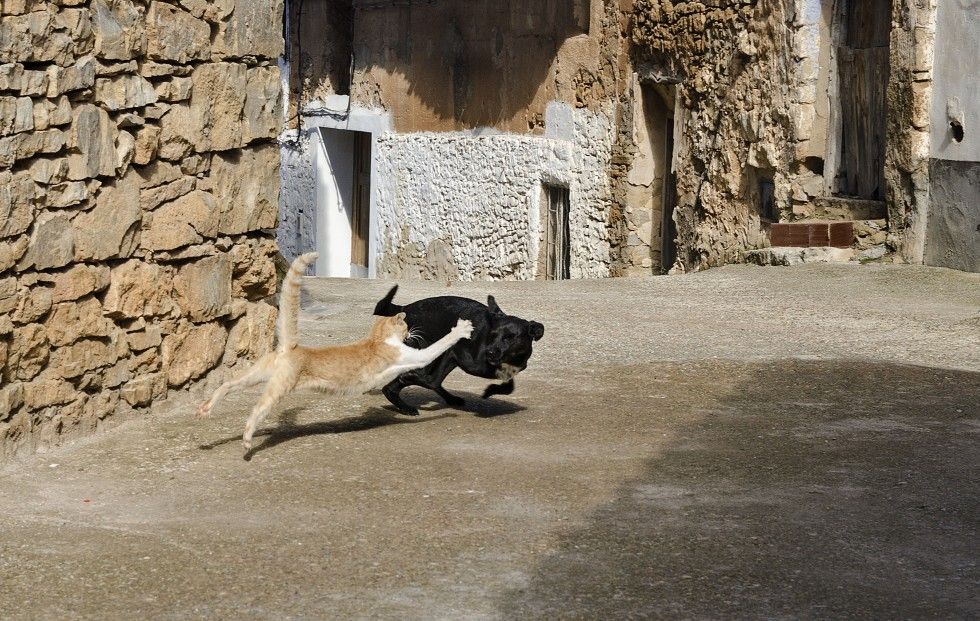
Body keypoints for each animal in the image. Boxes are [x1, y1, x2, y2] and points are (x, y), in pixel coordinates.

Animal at [197, 252, 472, 450]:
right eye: (405, 326)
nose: (409, 332)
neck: (376, 339)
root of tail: (290, 347)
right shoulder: (411, 356)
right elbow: (438, 346)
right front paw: (461, 329)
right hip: (279, 387)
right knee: (257, 409)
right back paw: (246, 437)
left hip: (256, 374)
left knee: (228, 384)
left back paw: (207, 407)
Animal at [374, 286, 544, 414]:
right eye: (493, 334)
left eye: (509, 337)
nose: (489, 352)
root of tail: (406, 308)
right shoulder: (458, 354)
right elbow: (429, 379)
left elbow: (509, 386)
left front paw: (490, 391)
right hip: (434, 352)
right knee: (426, 380)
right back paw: (407, 403)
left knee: (422, 382)